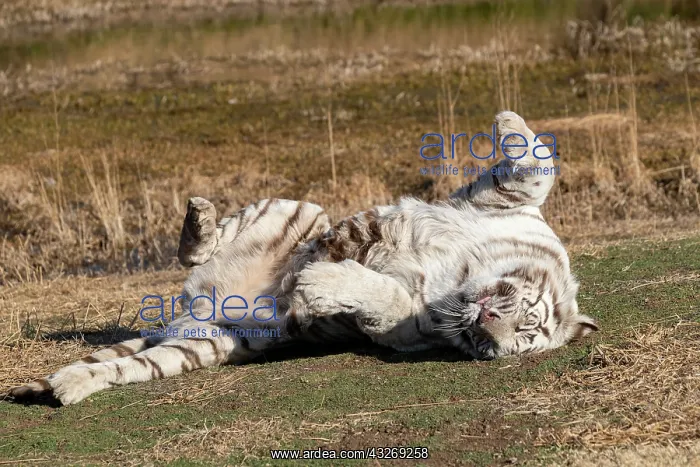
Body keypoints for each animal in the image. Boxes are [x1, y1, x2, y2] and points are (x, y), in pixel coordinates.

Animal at [7, 111, 598, 406]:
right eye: (524, 315)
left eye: (511, 342)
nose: (488, 322)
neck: (461, 279)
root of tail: (199, 307)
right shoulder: (502, 206)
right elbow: (536, 171)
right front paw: (507, 119)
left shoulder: (405, 330)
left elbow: (383, 294)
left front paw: (318, 286)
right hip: (299, 209)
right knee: (198, 247)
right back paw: (199, 218)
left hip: (206, 347)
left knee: (124, 366)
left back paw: (68, 387)